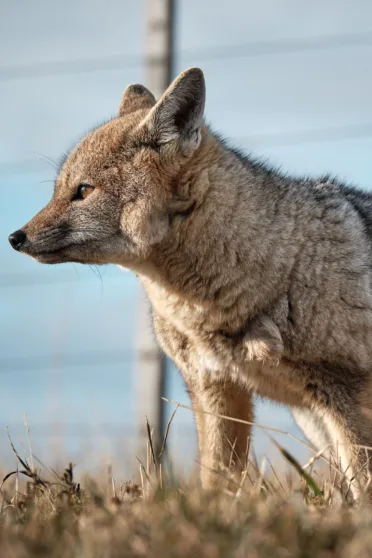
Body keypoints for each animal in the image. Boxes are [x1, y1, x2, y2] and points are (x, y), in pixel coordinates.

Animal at [8, 66, 372, 498]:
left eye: (83, 191)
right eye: (59, 191)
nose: (14, 237)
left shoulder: (345, 393)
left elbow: (364, 487)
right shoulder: (214, 389)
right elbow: (217, 479)